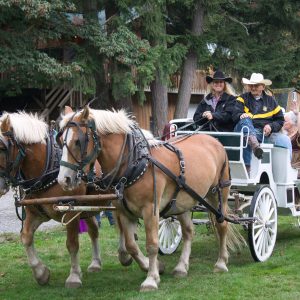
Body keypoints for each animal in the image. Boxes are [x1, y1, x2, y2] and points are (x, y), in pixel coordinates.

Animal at [0, 112, 104, 288]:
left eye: (2, 148)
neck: (46, 169)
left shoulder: (70, 213)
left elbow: (72, 243)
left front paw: (74, 276)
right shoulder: (36, 213)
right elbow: (26, 237)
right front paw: (41, 273)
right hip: (87, 208)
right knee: (94, 230)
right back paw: (97, 263)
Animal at [56, 106, 244, 292]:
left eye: (78, 141)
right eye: (61, 141)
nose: (63, 179)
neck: (133, 163)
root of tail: (214, 140)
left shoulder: (150, 210)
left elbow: (152, 244)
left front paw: (151, 279)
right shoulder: (124, 212)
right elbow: (131, 245)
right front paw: (151, 266)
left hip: (218, 194)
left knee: (222, 225)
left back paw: (221, 262)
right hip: (183, 201)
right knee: (189, 231)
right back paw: (181, 267)